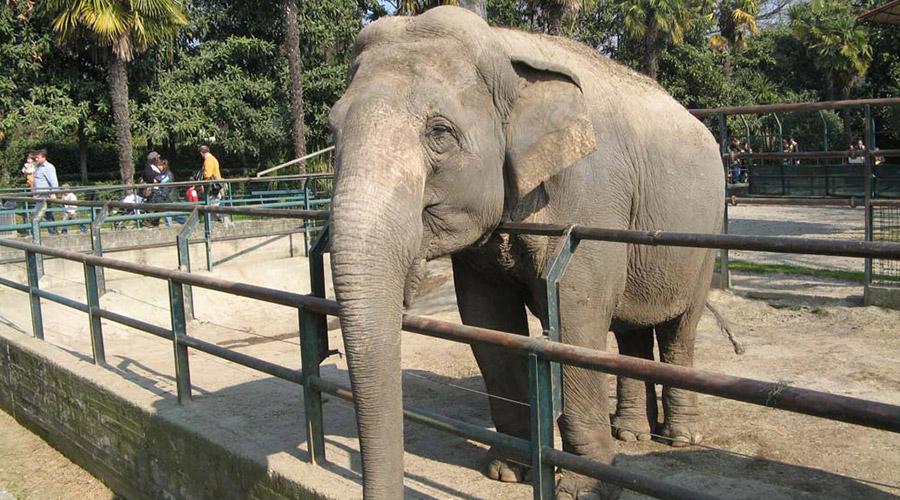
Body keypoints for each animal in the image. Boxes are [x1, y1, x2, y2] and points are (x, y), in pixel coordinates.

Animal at [326, 5, 728, 498]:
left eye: (439, 132)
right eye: (333, 128)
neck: (504, 49)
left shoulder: (589, 192)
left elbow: (577, 314)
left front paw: (584, 488)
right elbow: (486, 319)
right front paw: (506, 471)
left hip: (705, 233)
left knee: (679, 328)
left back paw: (679, 437)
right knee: (630, 328)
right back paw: (630, 432)